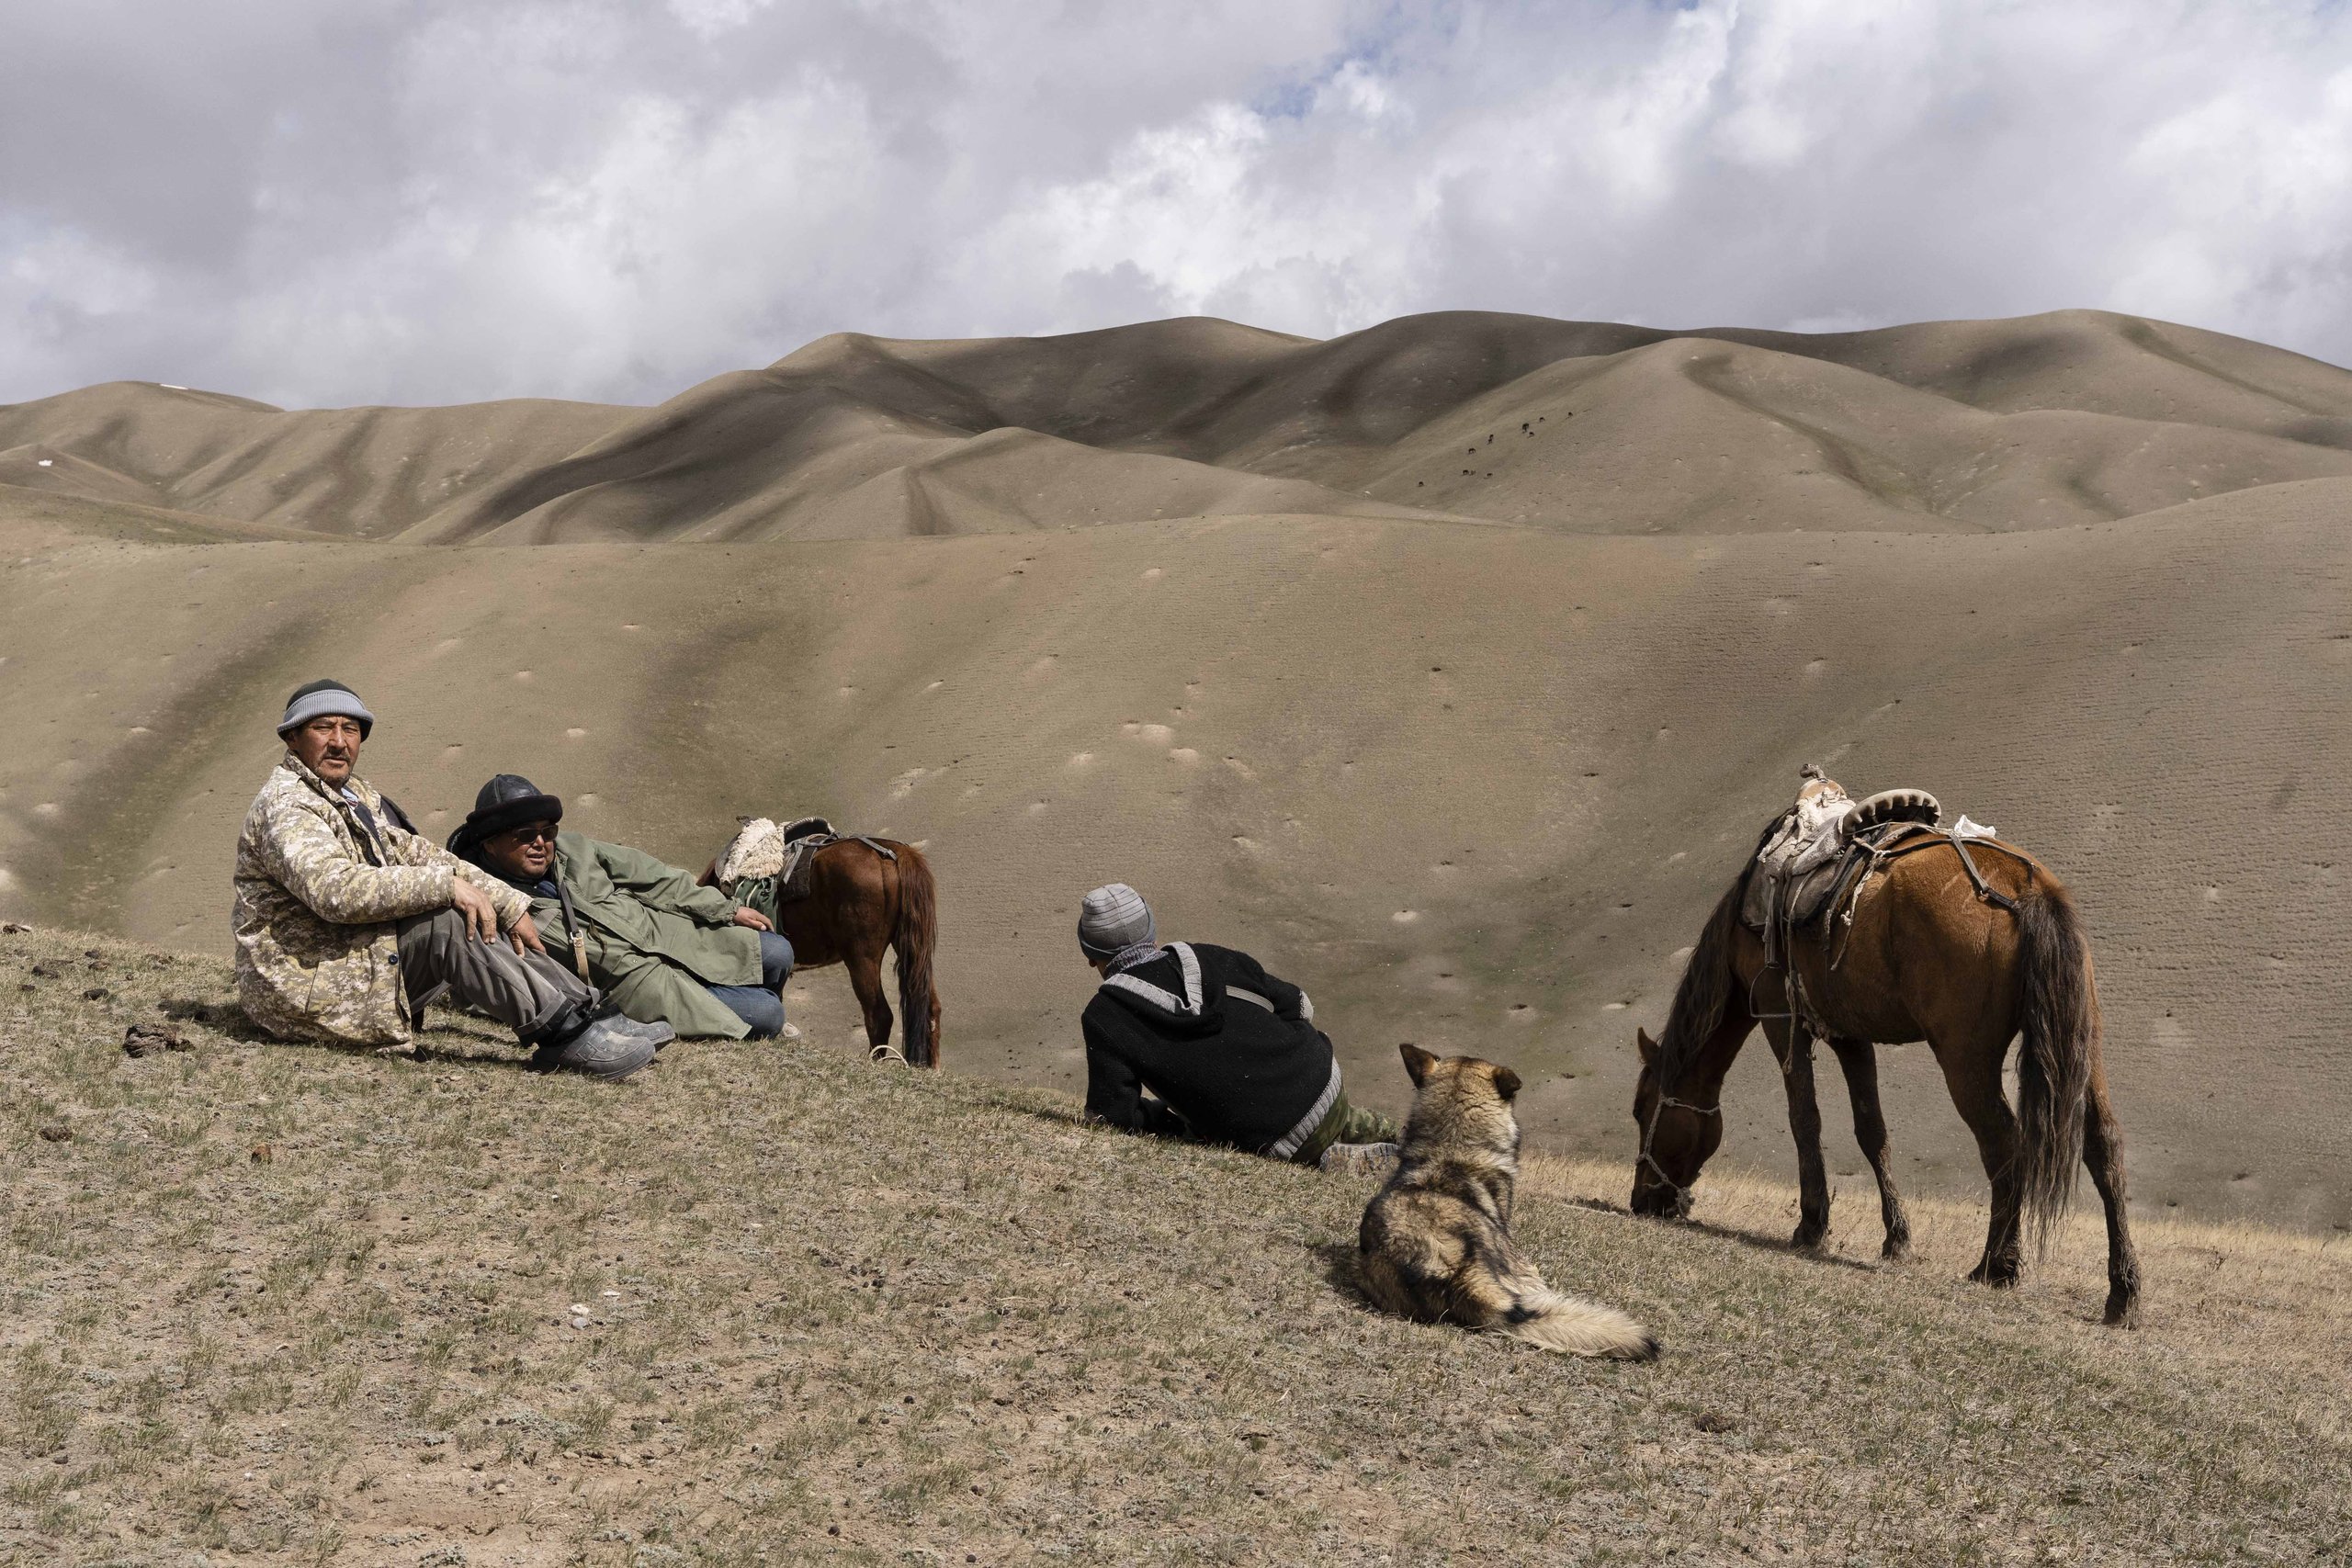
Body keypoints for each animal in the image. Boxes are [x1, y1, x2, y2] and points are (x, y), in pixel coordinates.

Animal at [1630, 817, 2141, 1327]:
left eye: (1641, 1110)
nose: (1641, 1200)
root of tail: (2026, 889)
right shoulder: (1850, 1036)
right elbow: (1871, 1132)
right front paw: (1897, 1240)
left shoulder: (1780, 1015)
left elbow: (1804, 1120)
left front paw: (1811, 1225)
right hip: (2083, 1046)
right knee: (2103, 1147)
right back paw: (2123, 1293)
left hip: (1966, 1059)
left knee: (2003, 1143)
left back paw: (1996, 1265)